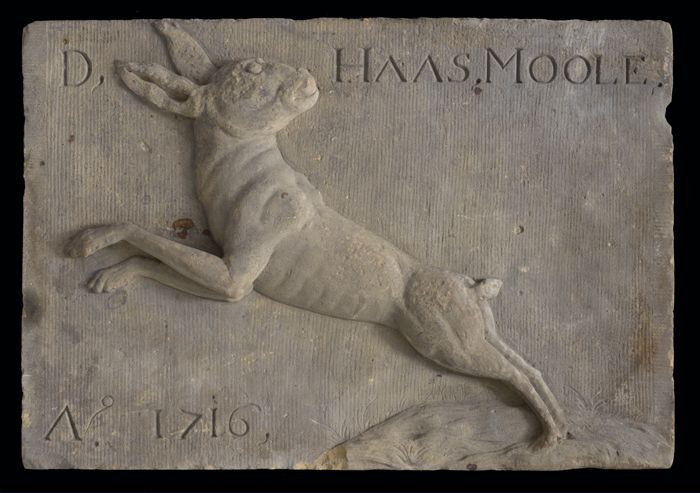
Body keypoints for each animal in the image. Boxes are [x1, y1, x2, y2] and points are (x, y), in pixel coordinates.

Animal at [66, 20, 567, 448]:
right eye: (251, 69)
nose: (305, 75)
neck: (246, 167)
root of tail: (472, 285)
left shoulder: (234, 275)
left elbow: (142, 234)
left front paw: (89, 241)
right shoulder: (233, 284)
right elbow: (155, 258)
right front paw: (111, 277)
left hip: (448, 344)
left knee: (514, 373)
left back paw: (546, 436)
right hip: (475, 332)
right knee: (527, 365)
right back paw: (559, 428)